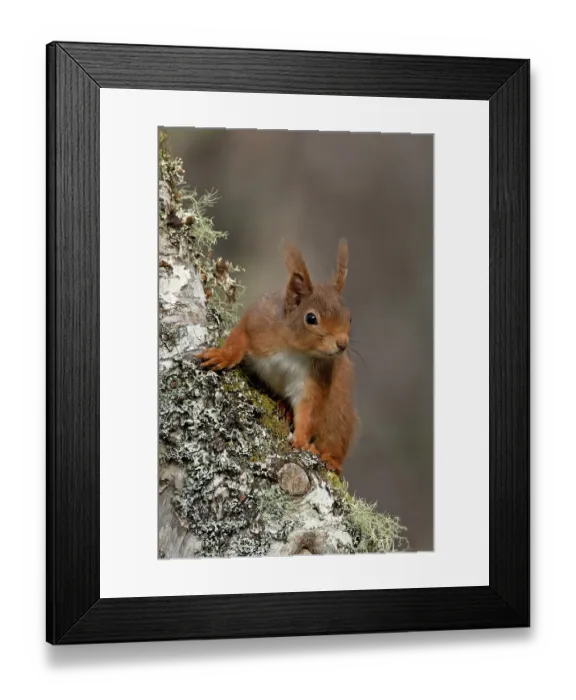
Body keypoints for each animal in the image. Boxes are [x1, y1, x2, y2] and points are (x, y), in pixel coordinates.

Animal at [196, 239, 358, 475]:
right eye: (311, 318)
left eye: (350, 317)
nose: (342, 343)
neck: (295, 350)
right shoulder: (259, 324)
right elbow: (240, 337)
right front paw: (223, 355)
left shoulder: (316, 377)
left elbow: (309, 409)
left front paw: (301, 440)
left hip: (339, 414)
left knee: (336, 438)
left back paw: (332, 459)